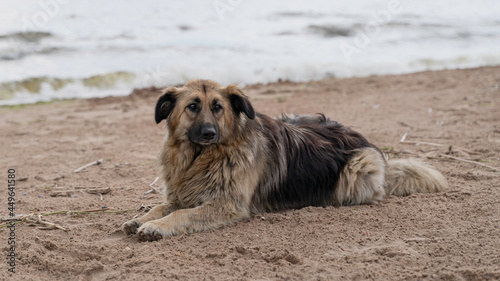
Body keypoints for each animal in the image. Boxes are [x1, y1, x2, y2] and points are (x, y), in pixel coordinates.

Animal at [122, 79, 450, 241]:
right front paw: (142, 219)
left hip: (356, 168)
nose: (209, 133)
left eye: (217, 107)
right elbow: (162, 206)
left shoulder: (227, 204)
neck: (200, 158)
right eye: (192, 106)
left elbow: (181, 215)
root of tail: (363, 139)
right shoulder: (181, 193)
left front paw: (155, 227)